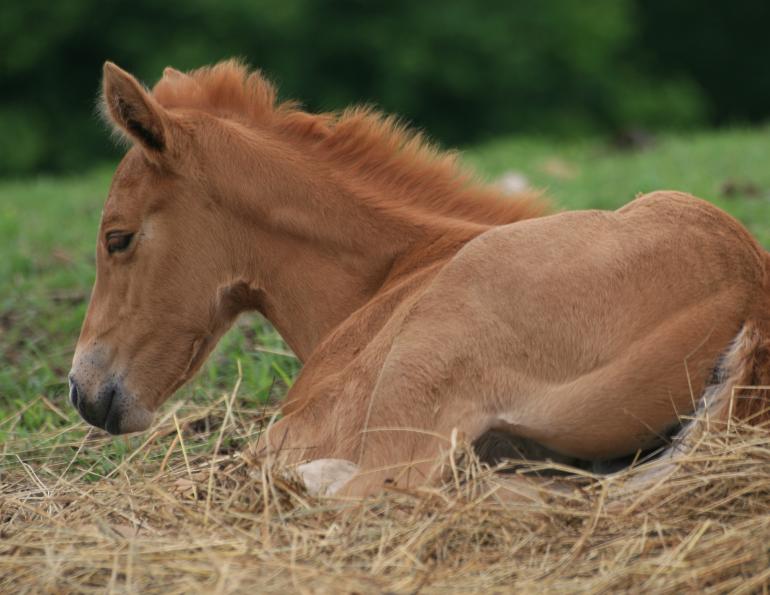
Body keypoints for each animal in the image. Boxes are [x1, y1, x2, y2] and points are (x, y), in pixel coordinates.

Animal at [69, 60, 770, 498]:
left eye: (117, 237)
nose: (82, 392)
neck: (393, 271)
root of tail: (747, 298)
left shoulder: (302, 425)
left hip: (425, 365)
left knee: (386, 487)